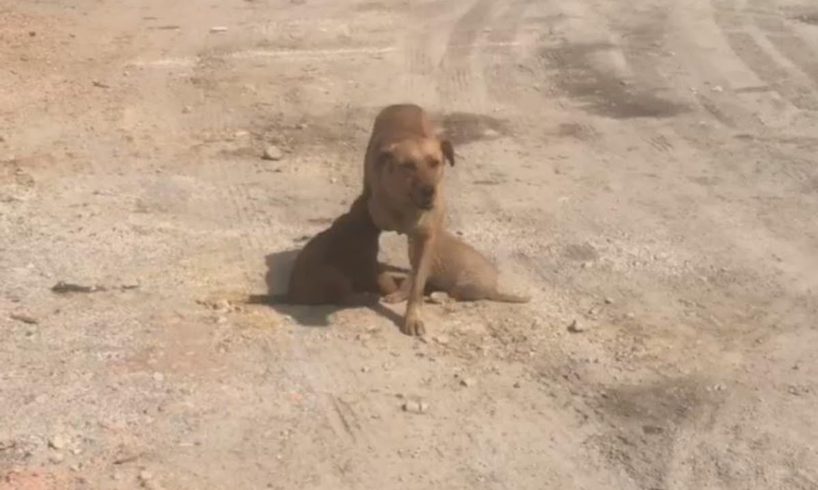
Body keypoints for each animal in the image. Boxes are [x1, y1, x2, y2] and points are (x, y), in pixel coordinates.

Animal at [362, 102, 452, 334]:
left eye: (435, 163)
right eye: (408, 165)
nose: (429, 190)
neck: (406, 207)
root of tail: (403, 105)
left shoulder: (427, 238)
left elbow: (419, 281)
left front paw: (413, 317)